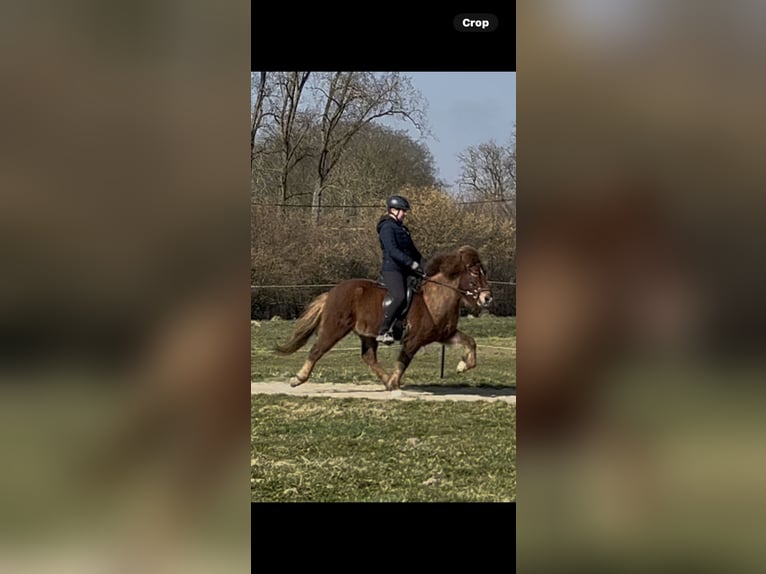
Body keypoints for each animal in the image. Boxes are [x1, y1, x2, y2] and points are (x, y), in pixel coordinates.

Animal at [275, 246, 493, 391]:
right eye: (475, 272)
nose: (487, 298)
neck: (435, 298)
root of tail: (332, 292)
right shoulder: (413, 340)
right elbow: (403, 361)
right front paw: (395, 382)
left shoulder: (445, 334)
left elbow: (470, 342)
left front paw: (462, 365)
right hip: (334, 328)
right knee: (317, 350)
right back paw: (298, 379)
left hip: (367, 334)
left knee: (368, 357)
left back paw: (385, 380)